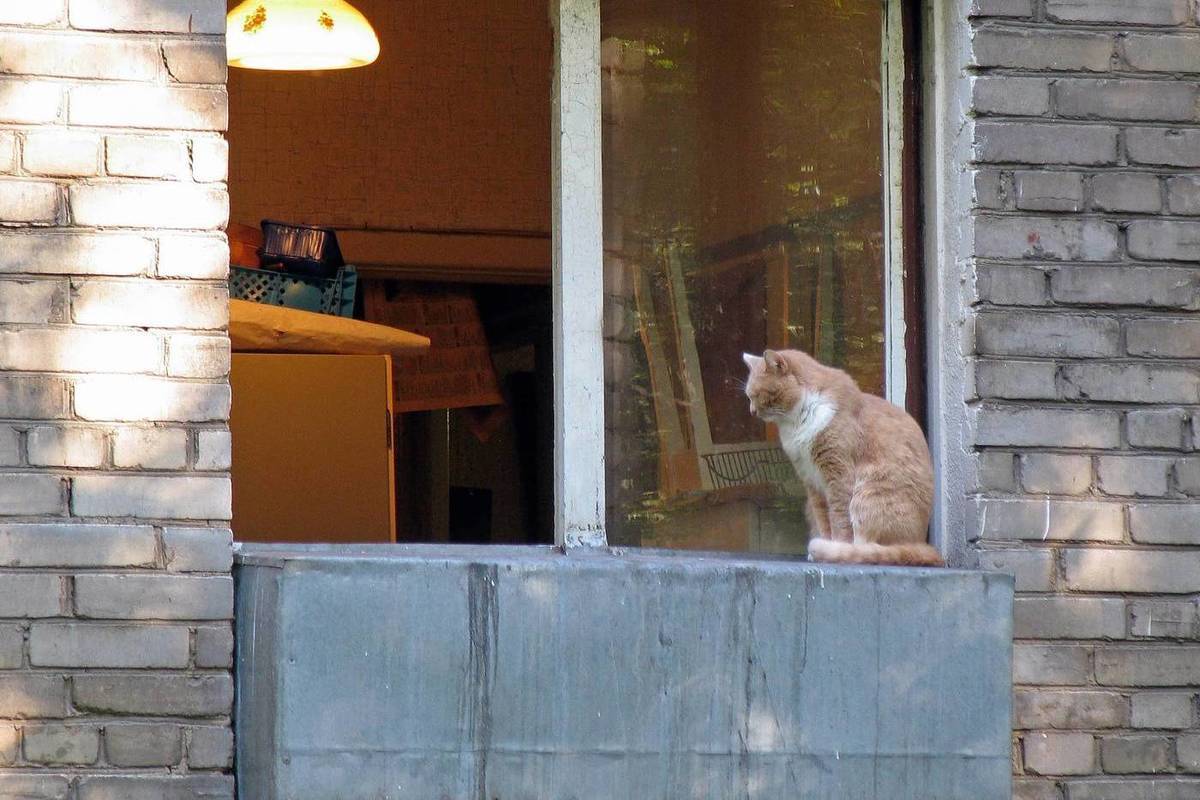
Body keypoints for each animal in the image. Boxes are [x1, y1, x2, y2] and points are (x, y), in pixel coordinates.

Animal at [734, 347, 940, 566]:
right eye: (749, 397)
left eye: (759, 395)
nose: (752, 411)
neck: (797, 421)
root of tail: (921, 544)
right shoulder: (812, 483)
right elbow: (824, 520)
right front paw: (825, 545)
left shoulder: (838, 474)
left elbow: (839, 519)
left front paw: (836, 548)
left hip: (867, 494)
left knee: (867, 548)